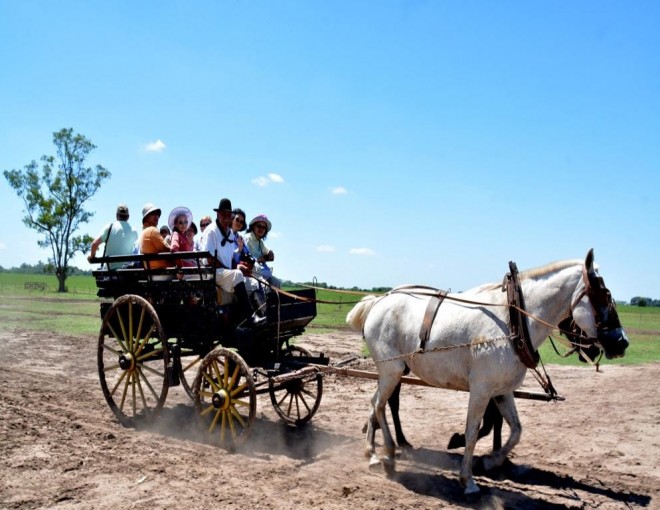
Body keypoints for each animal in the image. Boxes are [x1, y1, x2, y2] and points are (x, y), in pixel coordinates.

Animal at [346, 249, 628, 496]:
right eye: (603, 296)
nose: (622, 342)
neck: (513, 321)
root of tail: (379, 301)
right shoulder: (481, 391)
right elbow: (472, 432)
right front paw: (468, 479)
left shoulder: (502, 392)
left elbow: (515, 430)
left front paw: (491, 461)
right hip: (391, 370)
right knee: (380, 405)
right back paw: (387, 453)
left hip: (391, 373)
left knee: (375, 403)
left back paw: (374, 452)